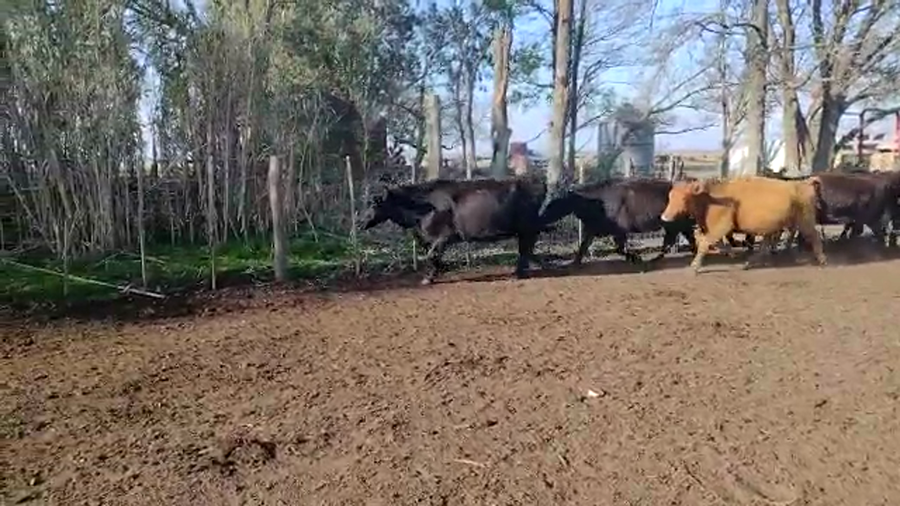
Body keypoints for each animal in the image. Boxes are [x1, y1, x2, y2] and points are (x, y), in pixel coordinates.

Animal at [361, 176, 549, 285]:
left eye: (374, 204)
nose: (360, 222)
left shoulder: (443, 237)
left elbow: (431, 255)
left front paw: (429, 277)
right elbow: (432, 255)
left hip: (528, 228)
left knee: (526, 249)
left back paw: (522, 272)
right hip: (526, 230)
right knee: (527, 250)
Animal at [660, 176, 827, 273]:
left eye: (684, 198)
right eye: (670, 196)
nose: (664, 217)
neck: (711, 198)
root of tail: (803, 183)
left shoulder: (721, 226)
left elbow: (705, 242)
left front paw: (695, 265)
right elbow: (707, 240)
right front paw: (730, 252)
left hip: (805, 221)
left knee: (815, 236)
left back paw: (822, 261)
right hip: (775, 226)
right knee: (765, 246)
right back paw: (748, 263)